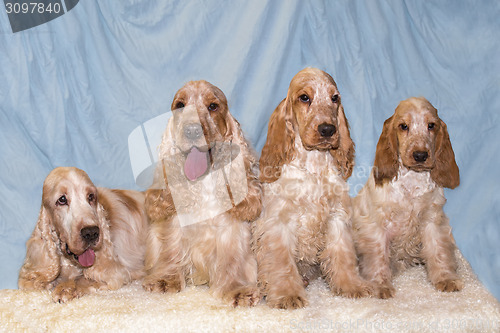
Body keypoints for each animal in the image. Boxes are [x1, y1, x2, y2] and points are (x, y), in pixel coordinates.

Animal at [252, 67, 374, 308]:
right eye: (304, 97)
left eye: (334, 98)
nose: (328, 129)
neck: (313, 166)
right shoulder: (279, 222)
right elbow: (282, 263)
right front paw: (288, 295)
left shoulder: (337, 216)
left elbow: (343, 256)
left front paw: (351, 286)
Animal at [352, 96, 460, 298]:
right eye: (403, 126)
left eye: (431, 125)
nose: (420, 155)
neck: (412, 181)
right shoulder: (377, 225)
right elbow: (378, 256)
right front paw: (381, 285)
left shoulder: (432, 220)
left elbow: (438, 251)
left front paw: (445, 279)